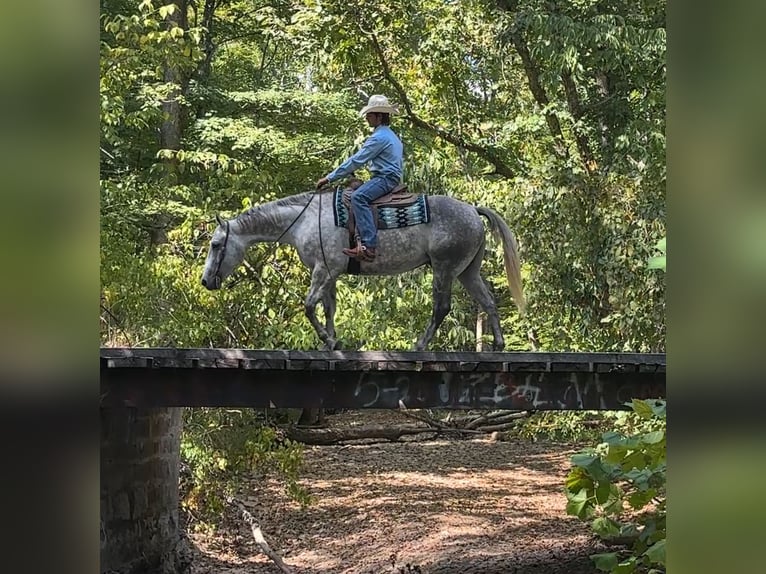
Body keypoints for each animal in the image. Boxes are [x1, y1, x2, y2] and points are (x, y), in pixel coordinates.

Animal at [200, 189, 525, 351]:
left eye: (216, 245)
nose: (205, 281)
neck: (305, 220)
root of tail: (472, 209)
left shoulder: (323, 270)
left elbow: (308, 306)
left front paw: (328, 340)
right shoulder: (330, 273)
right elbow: (328, 308)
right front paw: (332, 342)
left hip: (444, 268)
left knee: (441, 307)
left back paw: (420, 345)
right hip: (467, 271)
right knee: (488, 301)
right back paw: (499, 345)